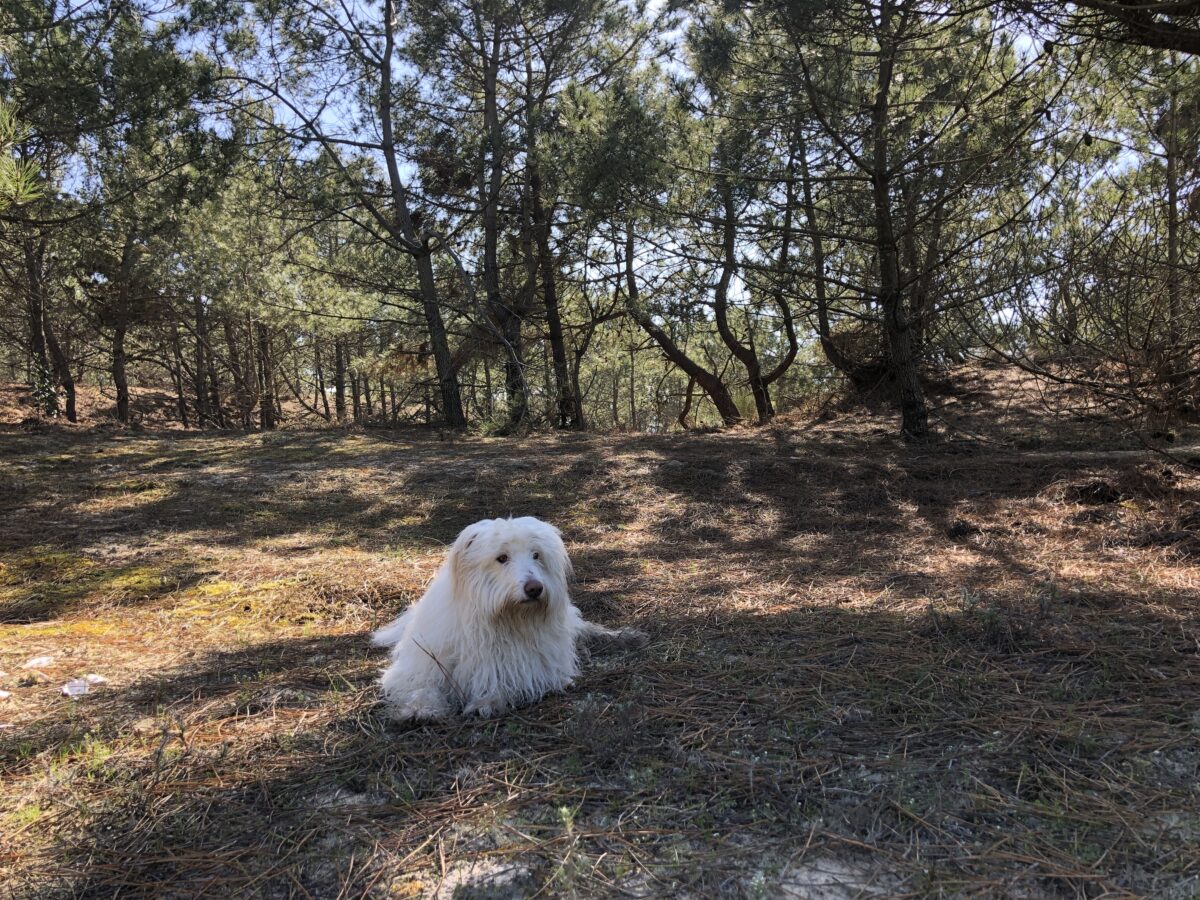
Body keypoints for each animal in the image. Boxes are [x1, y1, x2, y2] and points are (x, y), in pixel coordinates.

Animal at [372, 518, 648, 724]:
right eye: (502, 558)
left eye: (536, 555)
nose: (535, 588)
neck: (506, 619)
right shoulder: (421, 665)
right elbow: (421, 687)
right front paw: (420, 709)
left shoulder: (531, 668)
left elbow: (503, 680)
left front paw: (486, 700)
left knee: (585, 628)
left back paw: (622, 636)